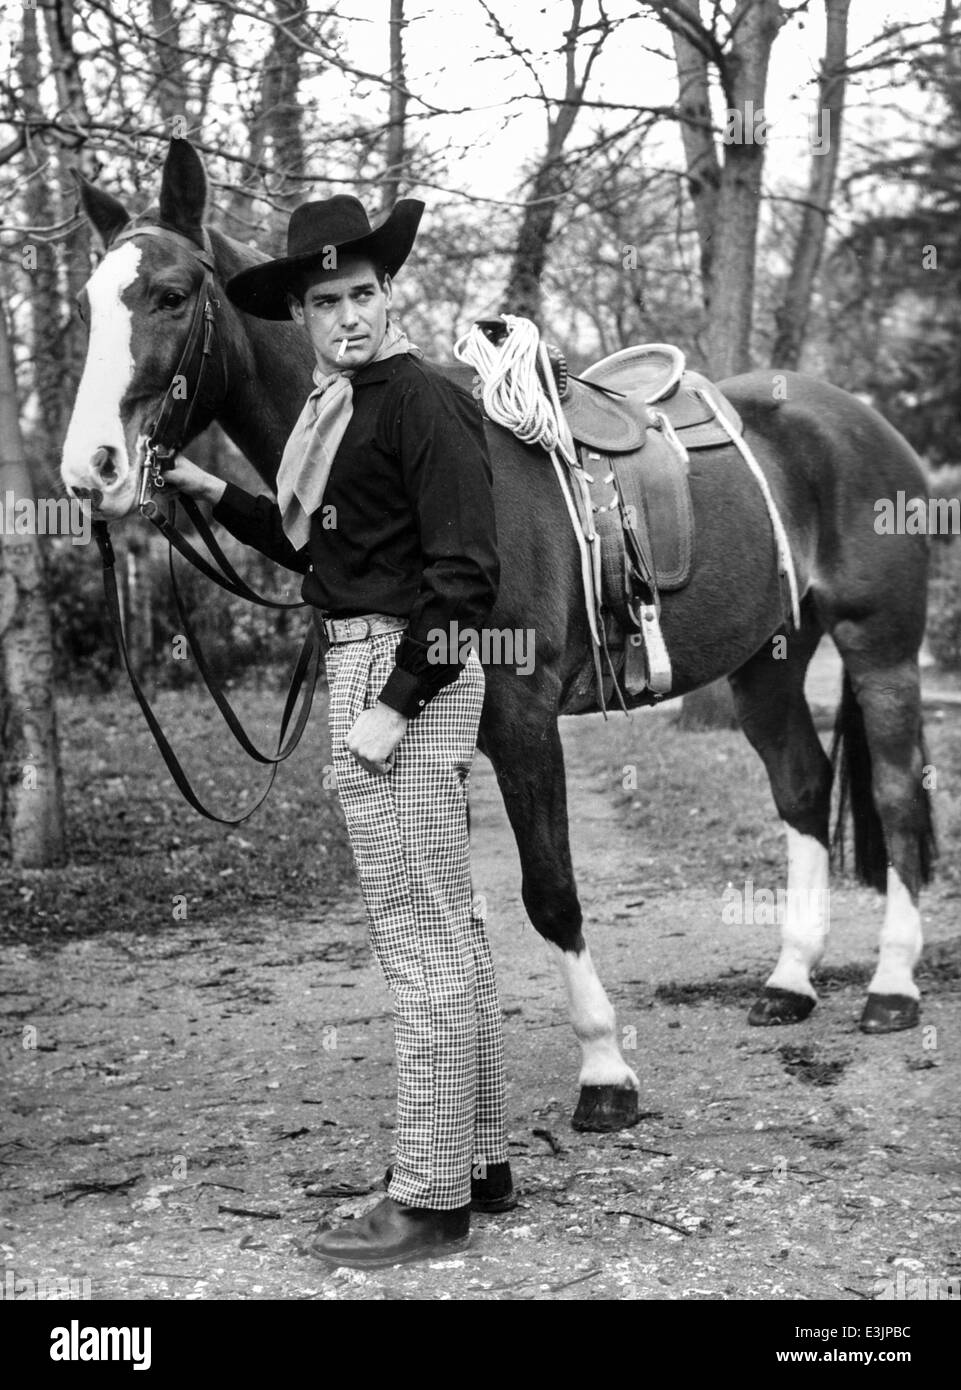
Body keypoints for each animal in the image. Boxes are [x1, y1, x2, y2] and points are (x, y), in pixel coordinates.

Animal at [58, 138, 934, 1128]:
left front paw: (603, 1072)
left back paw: (891, 988)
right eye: (88, 304)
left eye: (170, 295)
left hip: (879, 649)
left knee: (897, 797)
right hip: (768, 662)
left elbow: (549, 893)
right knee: (802, 787)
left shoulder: (521, 720)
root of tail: (860, 420)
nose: (90, 470)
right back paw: (789, 982)